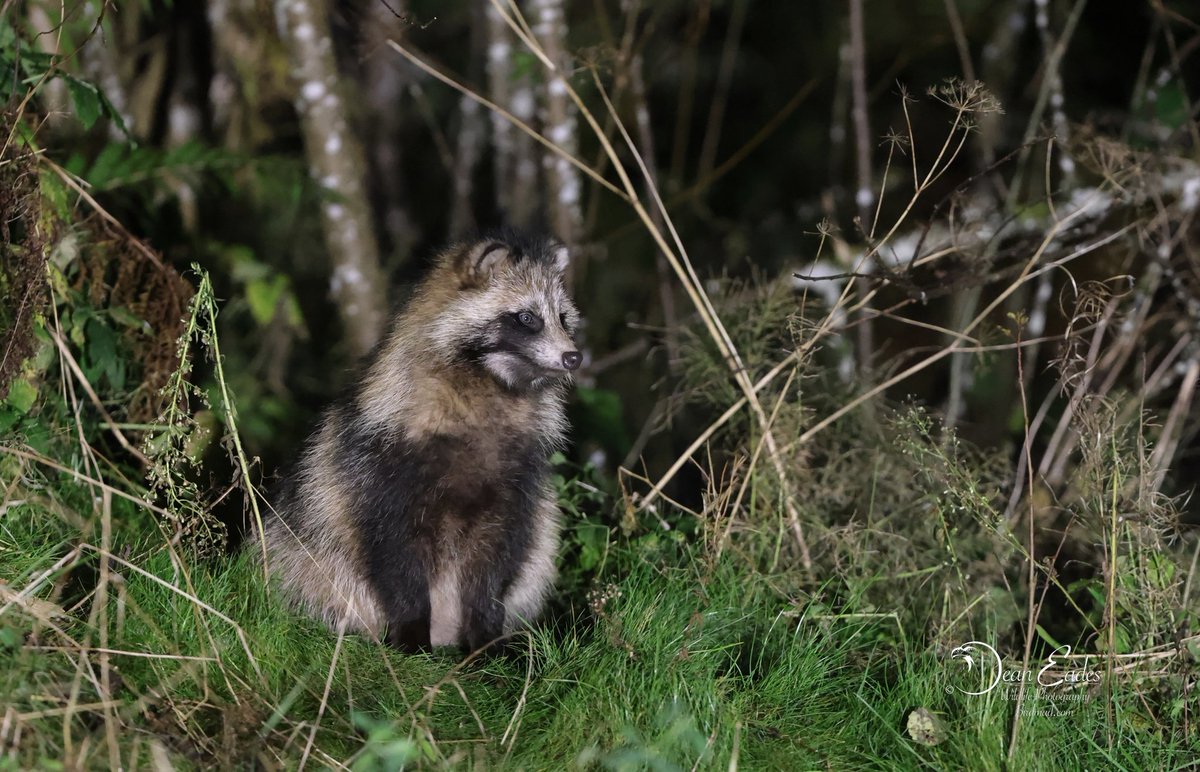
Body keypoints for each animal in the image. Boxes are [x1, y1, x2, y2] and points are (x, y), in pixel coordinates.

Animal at [261, 233, 581, 652]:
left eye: (563, 318)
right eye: (527, 318)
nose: (574, 356)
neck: (492, 386)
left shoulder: (517, 477)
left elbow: (498, 554)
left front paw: (485, 631)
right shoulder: (384, 461)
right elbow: (393, 549)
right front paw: (412, 631)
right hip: (304, 562)